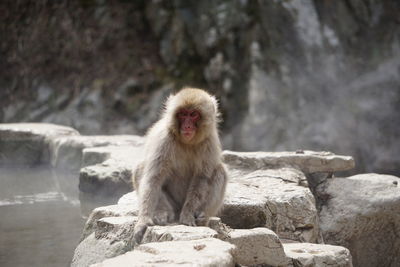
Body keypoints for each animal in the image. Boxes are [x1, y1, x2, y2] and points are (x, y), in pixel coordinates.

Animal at [133, 88, 228, 245]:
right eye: (183, 114)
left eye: (194, 114)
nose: (187, 126)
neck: (187, 143)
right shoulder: (164, 139)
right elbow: (154, 178)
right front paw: (143, 221)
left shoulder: (210, 142)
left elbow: (202, 178)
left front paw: (188, 214)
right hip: (173, 203)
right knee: (141, 169)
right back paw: (162, 212)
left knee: (220, 171)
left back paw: (202, 216)